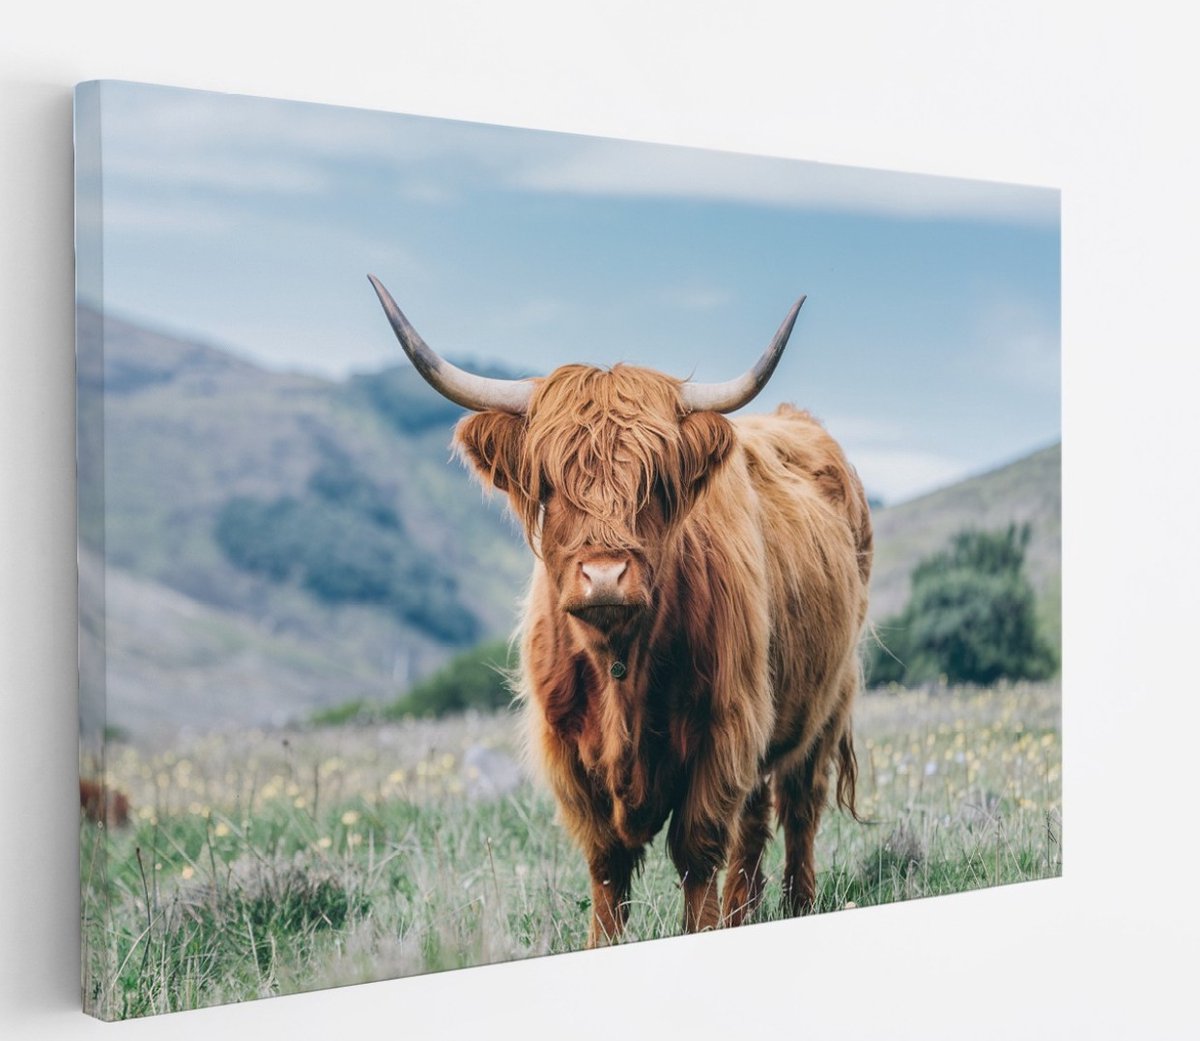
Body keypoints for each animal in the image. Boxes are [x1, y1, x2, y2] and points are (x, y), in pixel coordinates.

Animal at [369, 275, 873, 945]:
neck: (620, 664)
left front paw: (705, 930)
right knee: (756, 821)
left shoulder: (721, 733)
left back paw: (797, 905)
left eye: (654, 483)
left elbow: (696, 854)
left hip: (826, 703)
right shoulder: (570, 756)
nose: (604, 576)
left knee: (798, 809)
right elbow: (607, 868)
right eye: (550, 483)